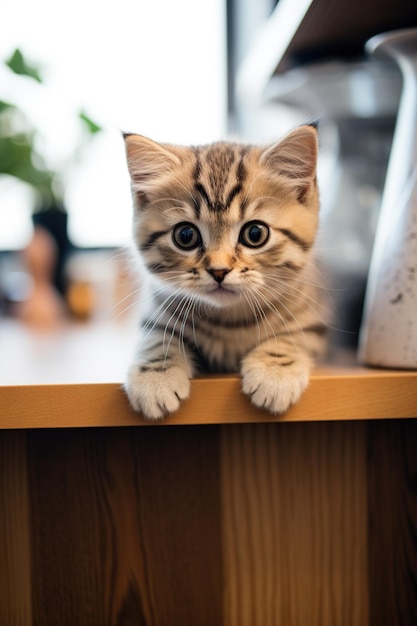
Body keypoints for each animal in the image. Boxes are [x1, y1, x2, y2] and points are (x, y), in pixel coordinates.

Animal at [122, 125, 324, 420]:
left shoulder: (313, 317)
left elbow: (294, 335)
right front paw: (156, 377)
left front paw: (275, 371)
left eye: (255, 234)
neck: (230, 322)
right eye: (185, 236)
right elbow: (158, 337)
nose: (219, 270)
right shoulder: (157, 308)